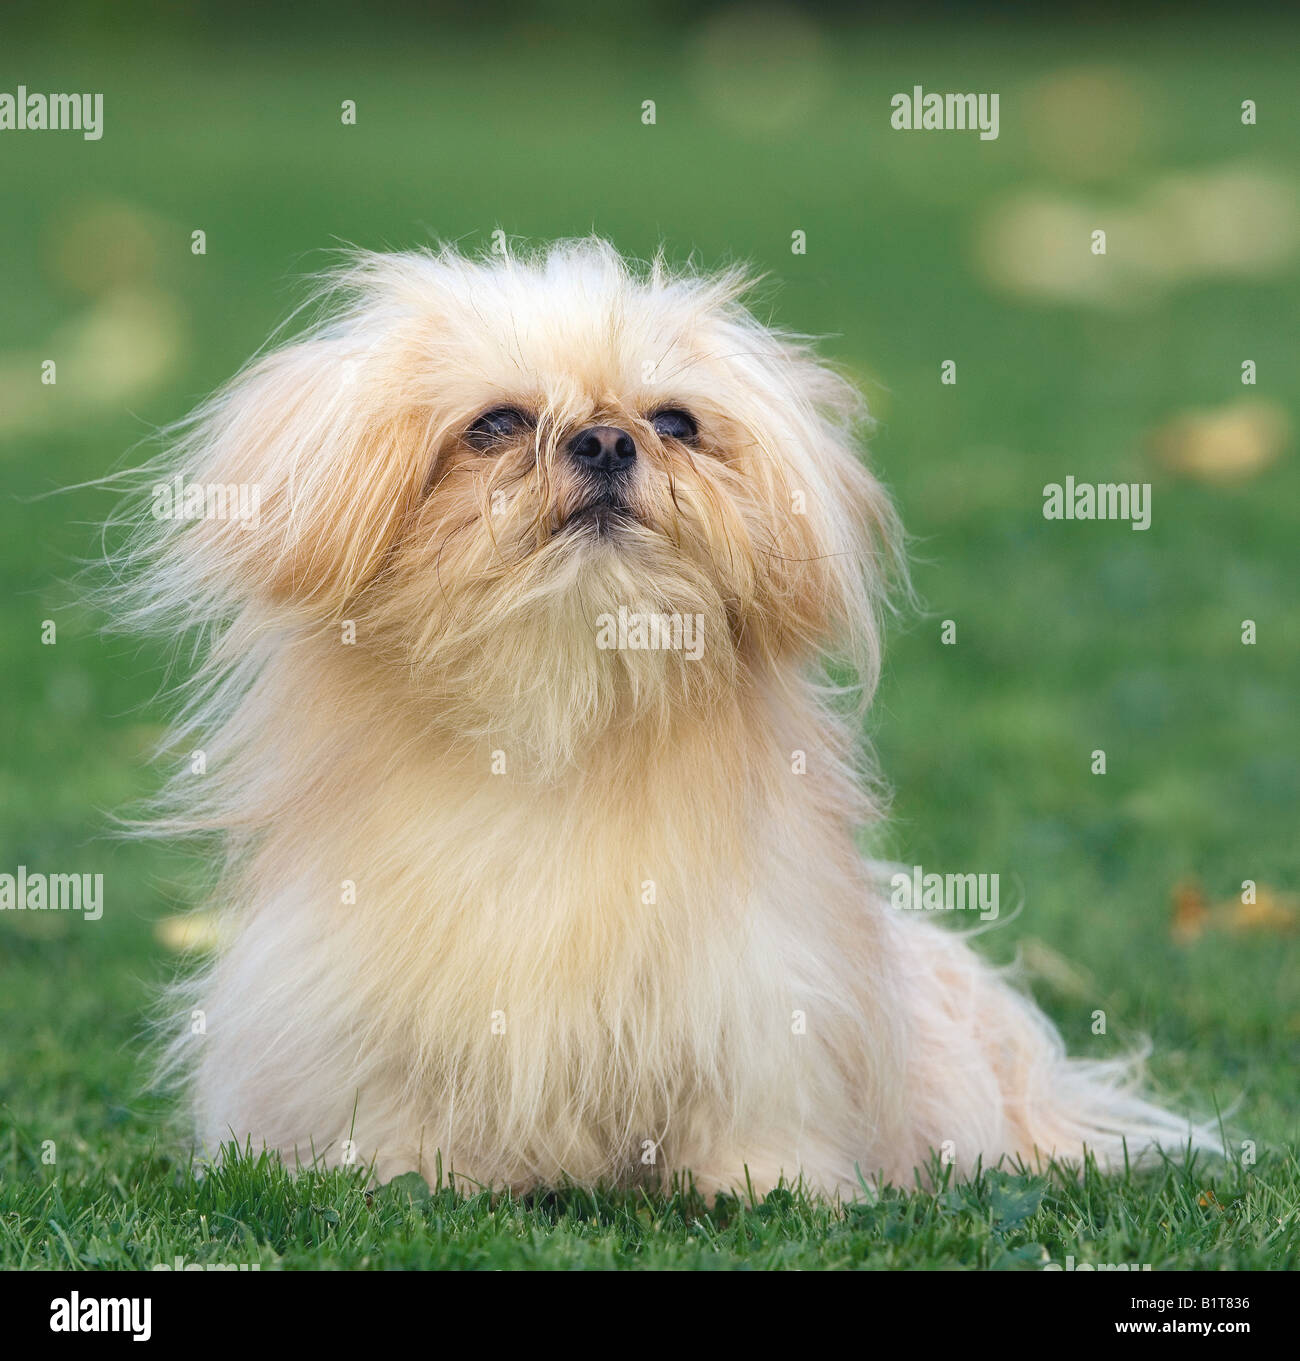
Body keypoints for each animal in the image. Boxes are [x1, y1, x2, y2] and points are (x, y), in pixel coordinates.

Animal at [124, 239, 1208, 1197]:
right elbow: (399, 1108)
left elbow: (755, 1108)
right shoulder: (364, 1003)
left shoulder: (762, 990)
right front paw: (410, 1176)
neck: (561, 714)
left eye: (674, 422)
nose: (606, 438)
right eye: (497, 423)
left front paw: (767, 1187)